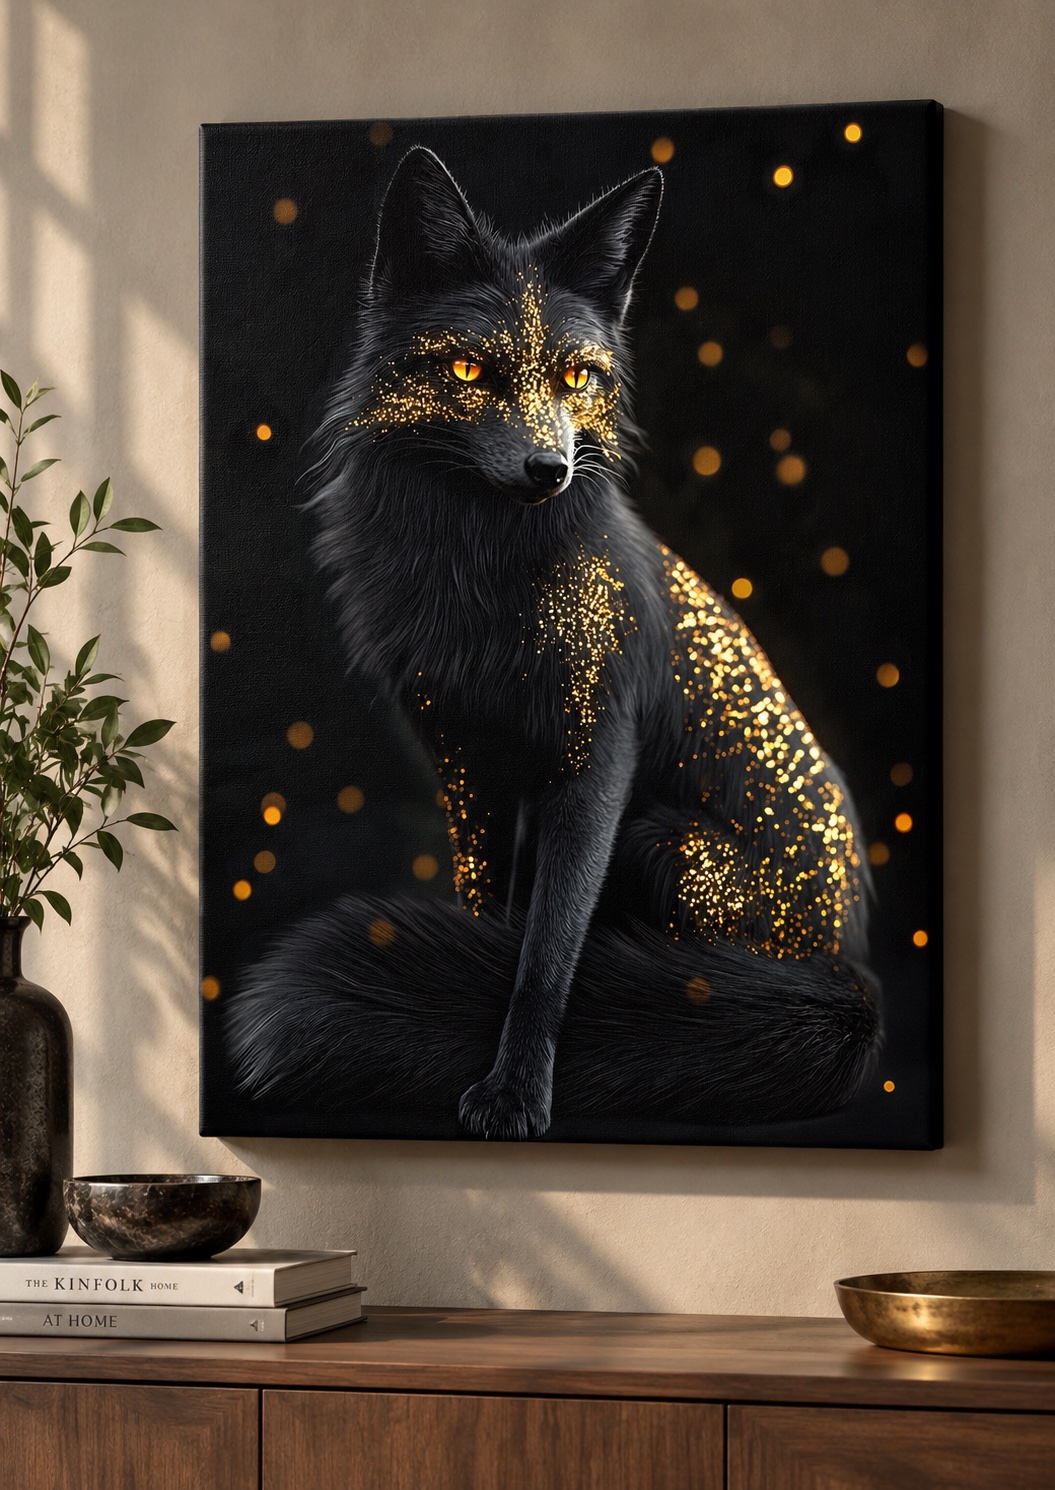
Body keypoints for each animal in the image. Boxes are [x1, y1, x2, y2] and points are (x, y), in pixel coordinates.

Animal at [228, 147, 881, 1141]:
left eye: (576, 378)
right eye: (469, 369)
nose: (550, 471)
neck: (480, 583)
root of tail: (851, 971)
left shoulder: (595, 756)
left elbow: (547, 953)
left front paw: (515, 1089)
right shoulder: (462, 752)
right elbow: (494, 909)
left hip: (668, 847)